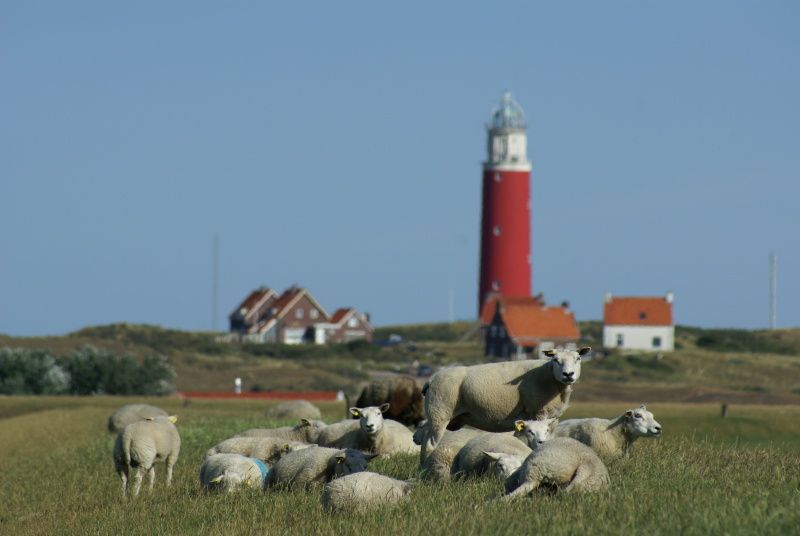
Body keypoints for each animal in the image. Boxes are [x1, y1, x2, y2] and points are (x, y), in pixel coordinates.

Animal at [419, 347, 590, 456]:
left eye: (578, 358)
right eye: (555, 360)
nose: (568, 374)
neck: (549, 375)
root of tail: (431, 379)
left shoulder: (552, 417)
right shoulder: (538, 412)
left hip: (436, 414)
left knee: (423, 441)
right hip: (440, 412)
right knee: (430, 445)